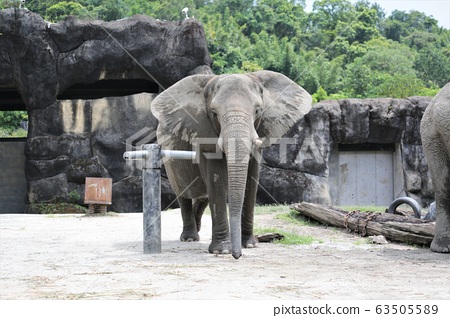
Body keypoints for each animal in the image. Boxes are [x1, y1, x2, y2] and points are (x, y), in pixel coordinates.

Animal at [149, 70, 312, 258]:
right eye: (213, 113)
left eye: (257, 110)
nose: (237, 255)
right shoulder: (205, 133)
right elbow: (217, 180)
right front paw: (222, 250)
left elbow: (251, 180)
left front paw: (249, 245)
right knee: (184, 193)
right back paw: (189, 238)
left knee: (203, 195)